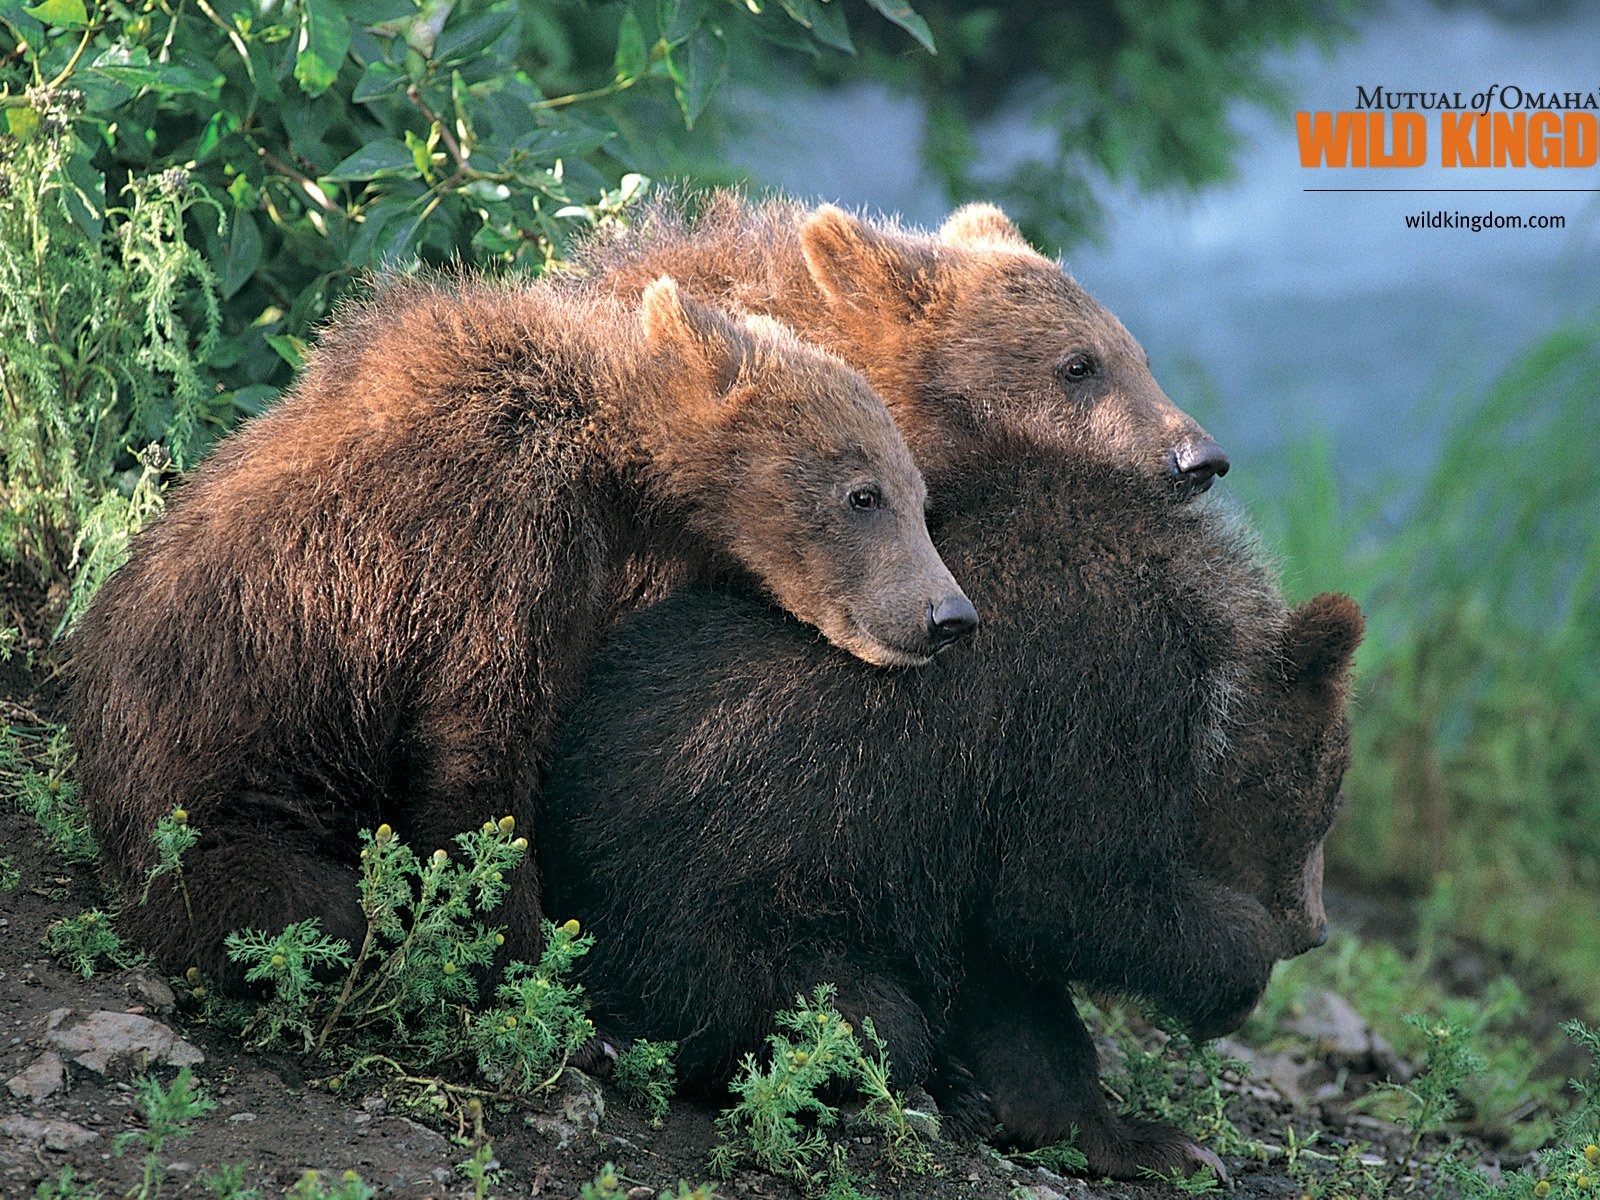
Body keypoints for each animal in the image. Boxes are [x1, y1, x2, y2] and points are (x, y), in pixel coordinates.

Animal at [72, 275, 972, 985]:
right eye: (864, 494)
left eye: (920, 496)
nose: (949, 616)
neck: (615, 465)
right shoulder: (502, 537)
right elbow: (480, 742)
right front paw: (520, 946)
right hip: (225, 783)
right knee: (290, 904)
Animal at [540, 454, 1363, 1184]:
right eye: (1321, 804)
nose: (1314, 927)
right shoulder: (1093, 710)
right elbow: (1069, 892)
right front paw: (1236, 972)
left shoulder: (963, 847)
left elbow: (1017, 985)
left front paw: (1130, 1138)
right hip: (709, 921)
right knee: (852, 1014)